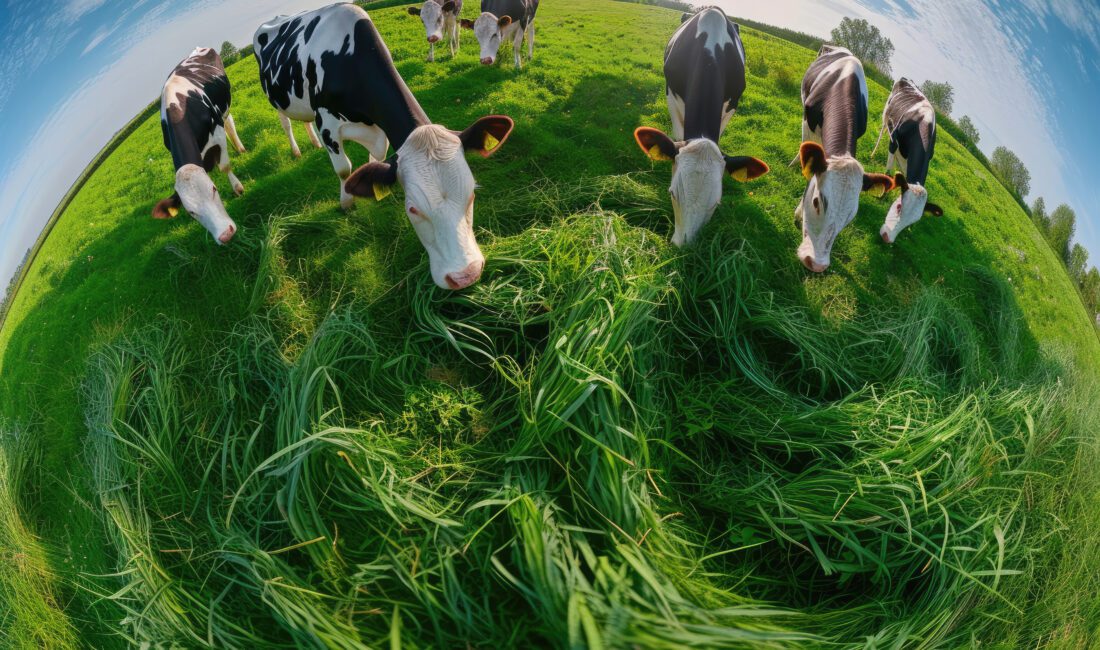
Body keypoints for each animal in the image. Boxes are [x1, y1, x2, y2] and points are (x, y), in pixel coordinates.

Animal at [150, 45, 243, 244]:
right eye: (191, 212)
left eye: (214, 189)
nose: (226, 234)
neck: (181, 108)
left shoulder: (217, 133)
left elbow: (224, 166)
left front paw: (238, 188)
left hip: (224, 107)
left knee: (229, 120)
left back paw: (240, 147)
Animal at [255, 4, 517, 290]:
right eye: (412, 208)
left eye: (471, 194)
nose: (466, 275)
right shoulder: (327, 121)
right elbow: (344, 169)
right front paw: (346, 204)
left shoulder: (379, 131)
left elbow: (375, 161)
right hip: (276, 99)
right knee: (287, 123)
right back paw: (296, 150)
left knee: (303, 120)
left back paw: (311, 142)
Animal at [633, 7, 770, 246]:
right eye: (672, 193)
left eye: (716, 204)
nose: (684, 248)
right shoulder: (672, 96)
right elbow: (678, 135)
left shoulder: (732, 104)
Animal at [871, 76, 941, 244]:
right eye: (899, 207)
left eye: (912, 222)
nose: (887, 238)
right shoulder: (893, 141)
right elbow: (888, 173)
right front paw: (882, 196)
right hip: (886, 114)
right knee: (882, 131)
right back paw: (873, 153)